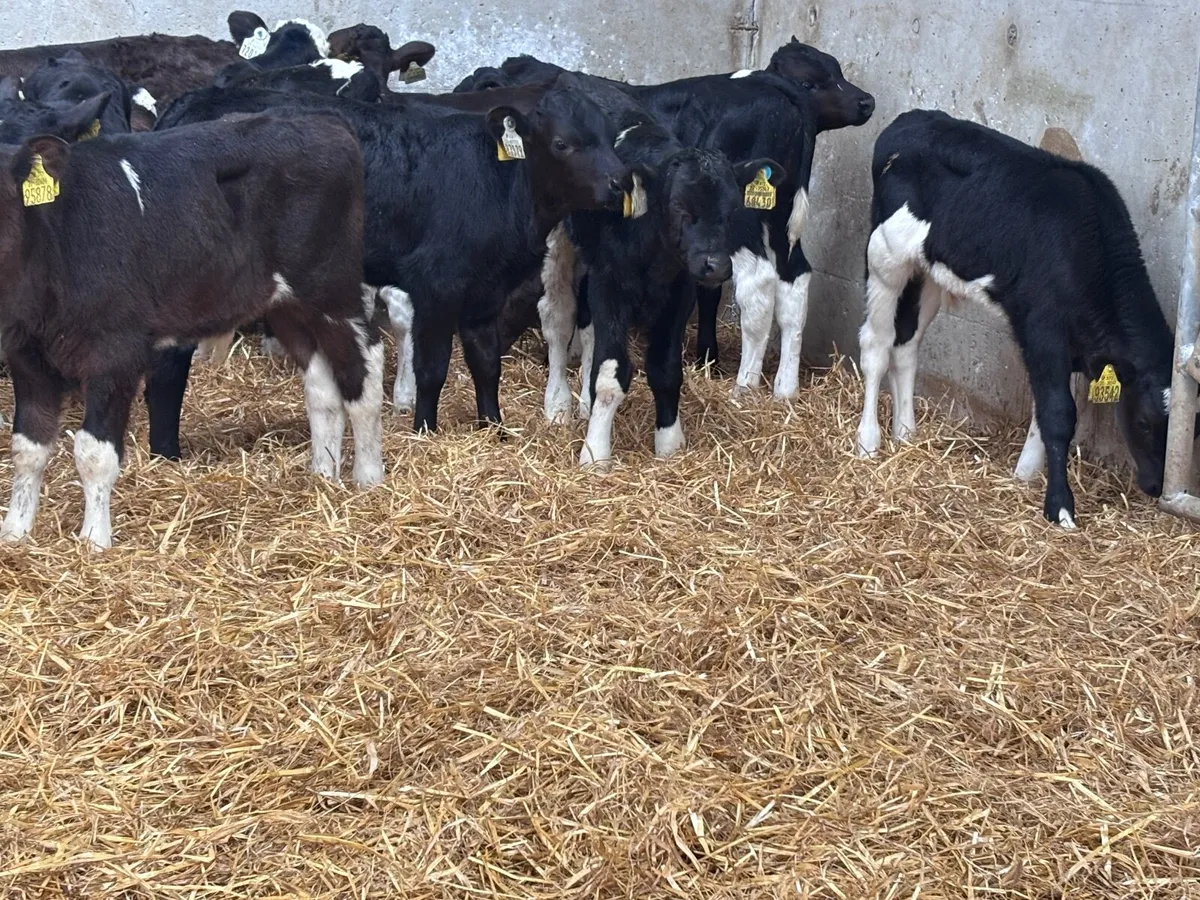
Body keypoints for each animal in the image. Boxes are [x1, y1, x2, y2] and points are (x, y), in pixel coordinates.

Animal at [0, 105, 382, 550]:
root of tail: (325, 121)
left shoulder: (116, 351)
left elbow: (93, 454)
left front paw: (94, 540)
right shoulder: (26, 353)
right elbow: (27, 448)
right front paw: (15, 532)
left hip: (331, 288)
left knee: (364, 365)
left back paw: (369, 477)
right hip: (286, 303)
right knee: (321, 385)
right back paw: (323, 474)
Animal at [146, 74, 633, 451]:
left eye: (612, 137)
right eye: (562, 143)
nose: (620, 181)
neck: (502, 183)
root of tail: (189, 104)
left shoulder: (484, 291)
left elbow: (485, 363)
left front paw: (493, 429)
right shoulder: (437, 284)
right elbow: (432, 367)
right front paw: (425, 431)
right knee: (168, 363)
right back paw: (167, 453)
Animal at [855, 109, 1191, 527]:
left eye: (1186, 431)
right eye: (1143, 422)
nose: (1155, 485)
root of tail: (909, 118)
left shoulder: (1063, 344)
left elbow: (1043, 410)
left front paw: (1026, 473)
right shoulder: (1043, 328)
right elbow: (1059, 413)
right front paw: (1060, 506)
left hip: (927, 271)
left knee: (907, 345)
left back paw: (906, 433)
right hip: (884, 259)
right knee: (876, 346)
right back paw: (868, 441)